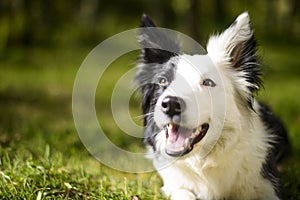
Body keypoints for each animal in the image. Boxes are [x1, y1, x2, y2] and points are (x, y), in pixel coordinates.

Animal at [135, 12, 290, 200]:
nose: (171, 104)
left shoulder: (267, 186)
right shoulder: (176, 185)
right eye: (163, 81)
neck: (204, 161)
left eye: (208, 82)